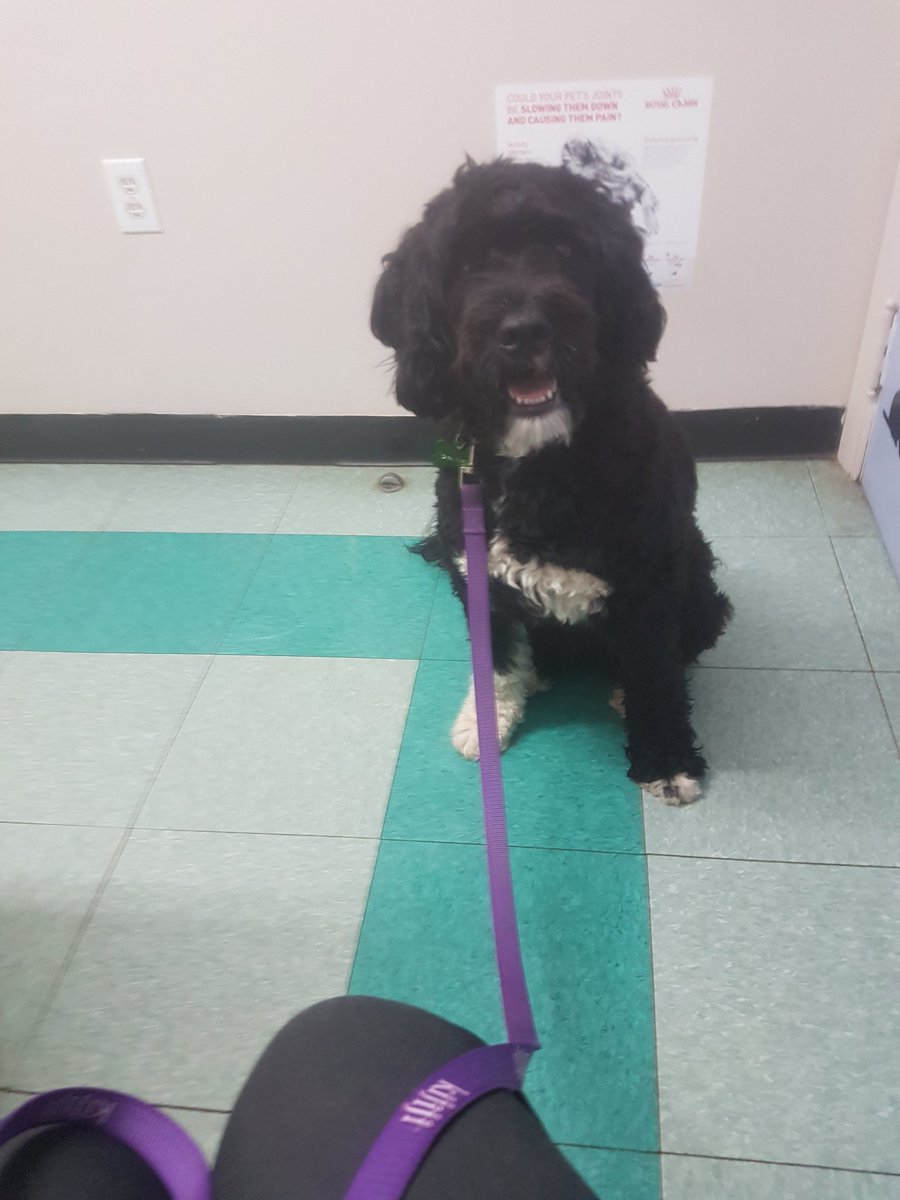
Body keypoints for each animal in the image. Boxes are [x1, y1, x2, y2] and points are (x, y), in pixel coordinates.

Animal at [370, 159, 731, 805]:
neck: (543, 460)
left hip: (697, 580)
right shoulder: (480, 577)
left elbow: (655, 671)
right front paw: (489, 719)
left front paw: (665, 757)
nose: (524, 331)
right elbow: (496, 661)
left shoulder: (650, 583)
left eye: (565, 250)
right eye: (467, 264)